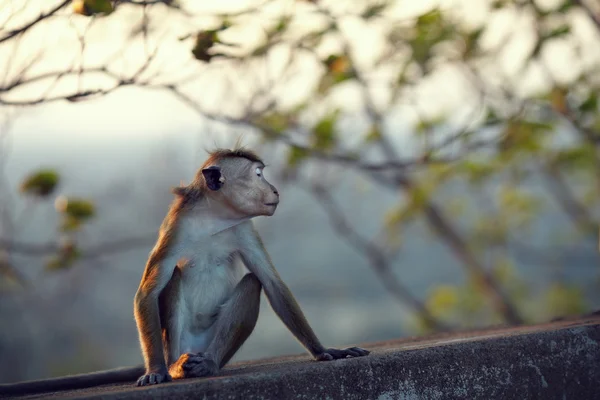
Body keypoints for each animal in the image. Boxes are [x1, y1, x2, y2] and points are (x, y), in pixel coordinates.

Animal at [0, 148, 368, 396]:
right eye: (258, 175)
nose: (275, 190)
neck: (213, 219)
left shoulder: (244, 228)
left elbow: (272, 283)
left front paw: (325, 351)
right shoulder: (175, 228)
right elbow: (148, 291)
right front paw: (155, 371)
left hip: (209, 341)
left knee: (251, 284)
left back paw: (209, 363)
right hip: (176, 342)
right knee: (174, 281)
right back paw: (174, 367)